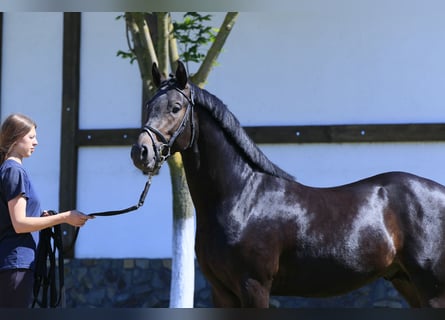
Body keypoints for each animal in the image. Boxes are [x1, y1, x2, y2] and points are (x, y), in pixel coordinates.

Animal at [130, 60, 444, 308]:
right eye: (148, 105)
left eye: (176, 107)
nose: (141, 151)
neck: (241, 199)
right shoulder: (222, 293)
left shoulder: (254, 287)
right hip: (405, 281)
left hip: (431, 288)